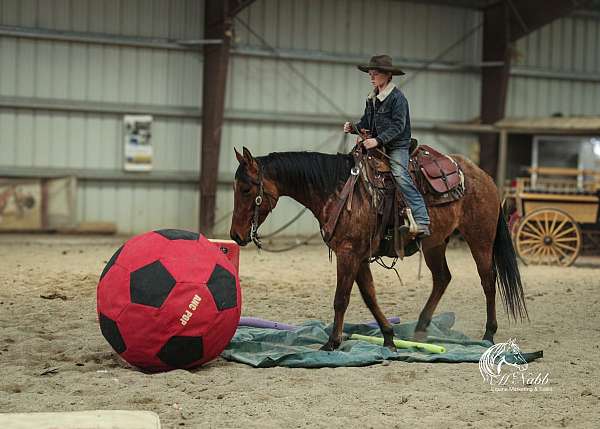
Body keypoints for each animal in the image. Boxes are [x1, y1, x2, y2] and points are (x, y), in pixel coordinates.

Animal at [227, 145, 528, 350]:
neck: (337, 189)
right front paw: (388, 337)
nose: (235, 235)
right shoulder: (358, 256)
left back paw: (488, 334)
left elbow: (341, 299)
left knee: (488, 280)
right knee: (443, 278)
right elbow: (369, 296)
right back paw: (420, 328)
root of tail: (484, 176)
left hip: (480, 238)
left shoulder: (348, 254)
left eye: (245, 189)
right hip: (435, 244)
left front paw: (332, 342)